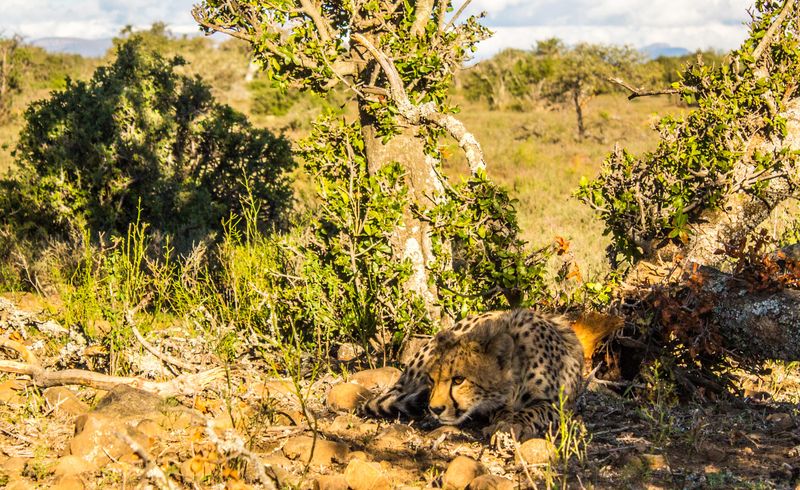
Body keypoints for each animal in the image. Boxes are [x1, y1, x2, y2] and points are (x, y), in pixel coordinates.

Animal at [362, 308, 592, 442]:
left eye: (458, 380)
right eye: (432, 380)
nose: (435, 409)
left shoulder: (563, 404)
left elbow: (535, 410)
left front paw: (512, 424)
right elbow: (503, 411)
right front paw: (504, 422)